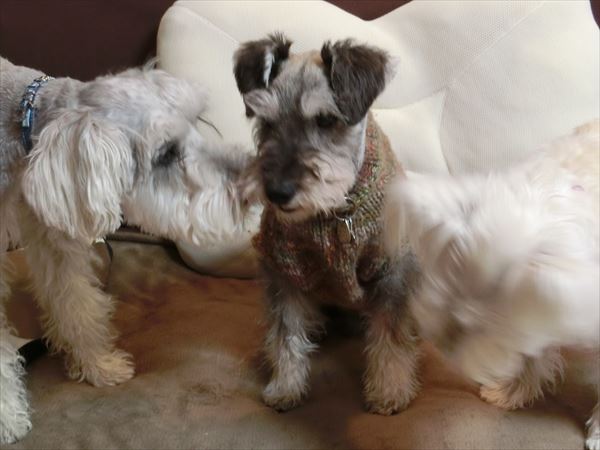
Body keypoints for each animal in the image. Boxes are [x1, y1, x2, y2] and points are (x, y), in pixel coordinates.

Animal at [0, 57, 257, 443]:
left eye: (197, 120)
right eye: (165, 154)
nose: (256, 184)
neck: (23, 116)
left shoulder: (52, 239)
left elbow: (75, 301)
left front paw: (98, 364)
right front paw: (7, 418)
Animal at [232, 34, 421, 414]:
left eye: (325, 120)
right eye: (267, 122)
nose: (277, 192)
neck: (336, 210)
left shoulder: (392, 271)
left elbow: (391, 336)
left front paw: (389, 391)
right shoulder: (283, 269)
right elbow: (286, 331)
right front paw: (285, 385)